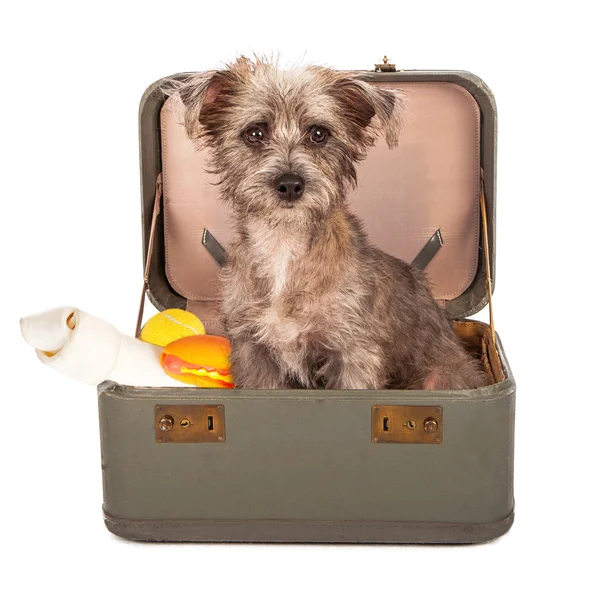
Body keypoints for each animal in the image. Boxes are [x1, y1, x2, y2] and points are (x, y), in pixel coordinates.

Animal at [166, 57, 490, 390]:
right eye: (254, 133)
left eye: (319, 134)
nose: (290, 184)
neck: (284, 246)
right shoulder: (254, 354)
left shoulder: (354, 355)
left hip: (437, 379)